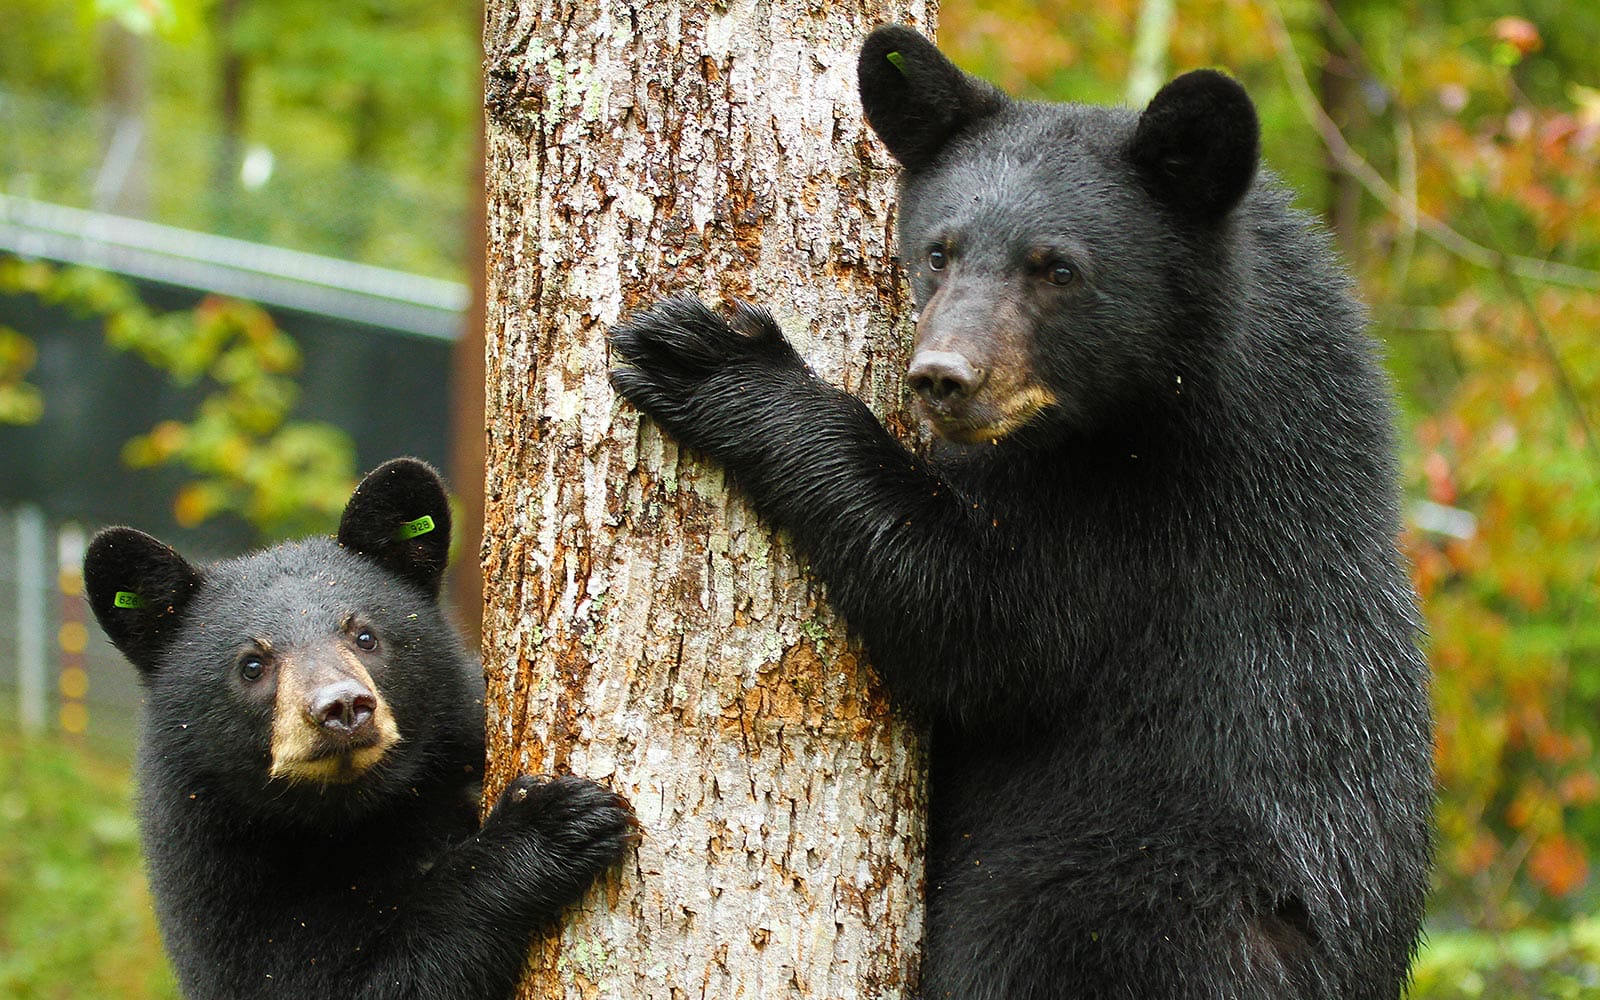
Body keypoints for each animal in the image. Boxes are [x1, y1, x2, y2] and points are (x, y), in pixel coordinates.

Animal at [81, 457, 630, 992]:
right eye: (252, 665)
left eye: (365, 636)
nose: (342, 707)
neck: (354, 813)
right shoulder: (221, 892)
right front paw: (552, 824)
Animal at [611, 21, 1440, 998]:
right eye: (938, 250)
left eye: (1059, 268)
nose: (943, 376)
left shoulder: (1162, 516)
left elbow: (981, 618)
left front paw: (715, 364)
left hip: (1113, 903)